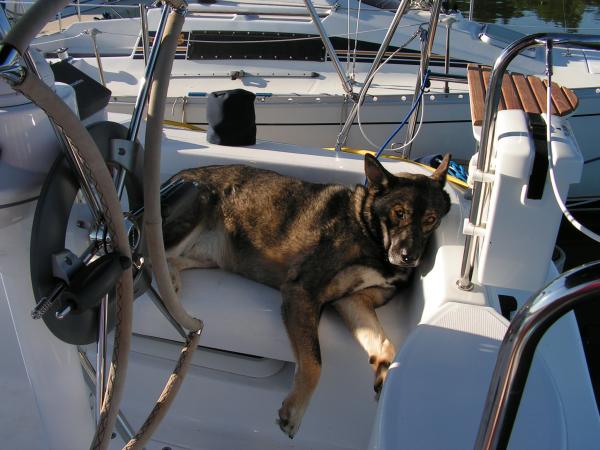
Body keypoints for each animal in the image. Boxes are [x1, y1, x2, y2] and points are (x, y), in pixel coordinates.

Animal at [163, 155, 450, 440]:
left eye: (430, 219)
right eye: (399, 213)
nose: (409, 258)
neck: (367, 227)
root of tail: (175, 176)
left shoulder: (353, 300)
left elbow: (386, 345)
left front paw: (383, 370)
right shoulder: (303, 292)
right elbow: (314, 362)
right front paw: (295, 409)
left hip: (211, 256)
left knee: (171, 260)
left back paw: (172, 280)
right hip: (197, 205)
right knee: (155, 254)